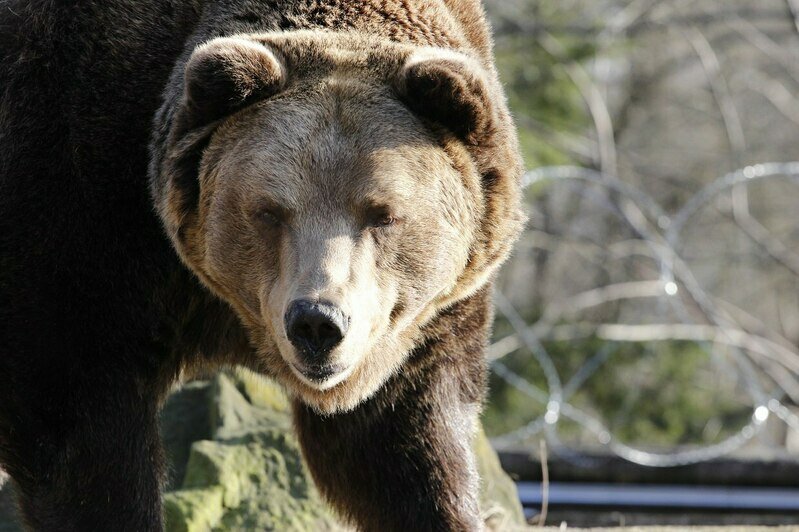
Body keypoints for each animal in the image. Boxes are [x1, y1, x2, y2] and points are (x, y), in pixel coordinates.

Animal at [0, 2, 524, 528]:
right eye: (270, 210)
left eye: (383, 213)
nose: (317, 322)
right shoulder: (79, 227)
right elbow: (84, 441)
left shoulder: (419, 325)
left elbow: (406, 446)